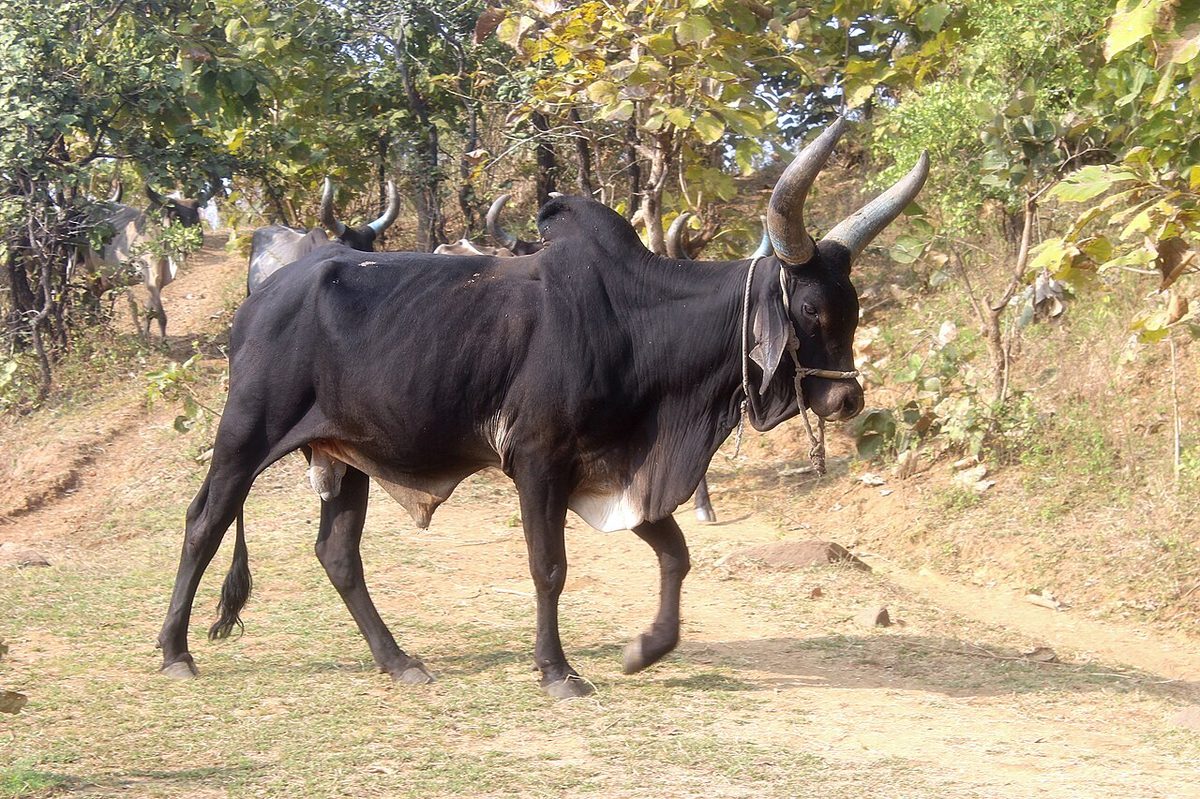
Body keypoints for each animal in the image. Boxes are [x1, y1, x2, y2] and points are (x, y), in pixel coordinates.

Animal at [83, 185, 209, 338]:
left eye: (196, 215)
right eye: (175, 216)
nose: (194, 241)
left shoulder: (159, 283)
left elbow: (149, 312)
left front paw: (145, 335)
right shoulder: (151, 279)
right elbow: (161, 316)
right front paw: (162, 341)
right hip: (92, 270)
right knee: (93, 293)